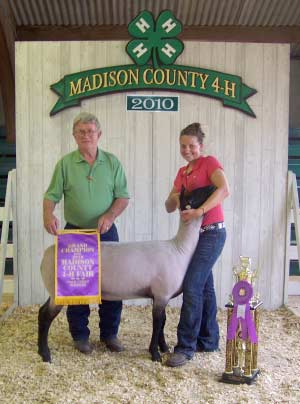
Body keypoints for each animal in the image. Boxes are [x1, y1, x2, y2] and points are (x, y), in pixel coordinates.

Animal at [38, 186, 216, 362]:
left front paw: (164, 348)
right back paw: (46, 354)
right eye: (195, 193)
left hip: (54, 291)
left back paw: (41, 351)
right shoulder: (162, 294)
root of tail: (45, 256)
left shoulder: (160, 295)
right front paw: (155, 354)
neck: (180, 249)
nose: (213, 186)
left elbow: (163, 322)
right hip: (59, 291)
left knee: (41, 311)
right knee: (46, 316)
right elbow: (157, 324)